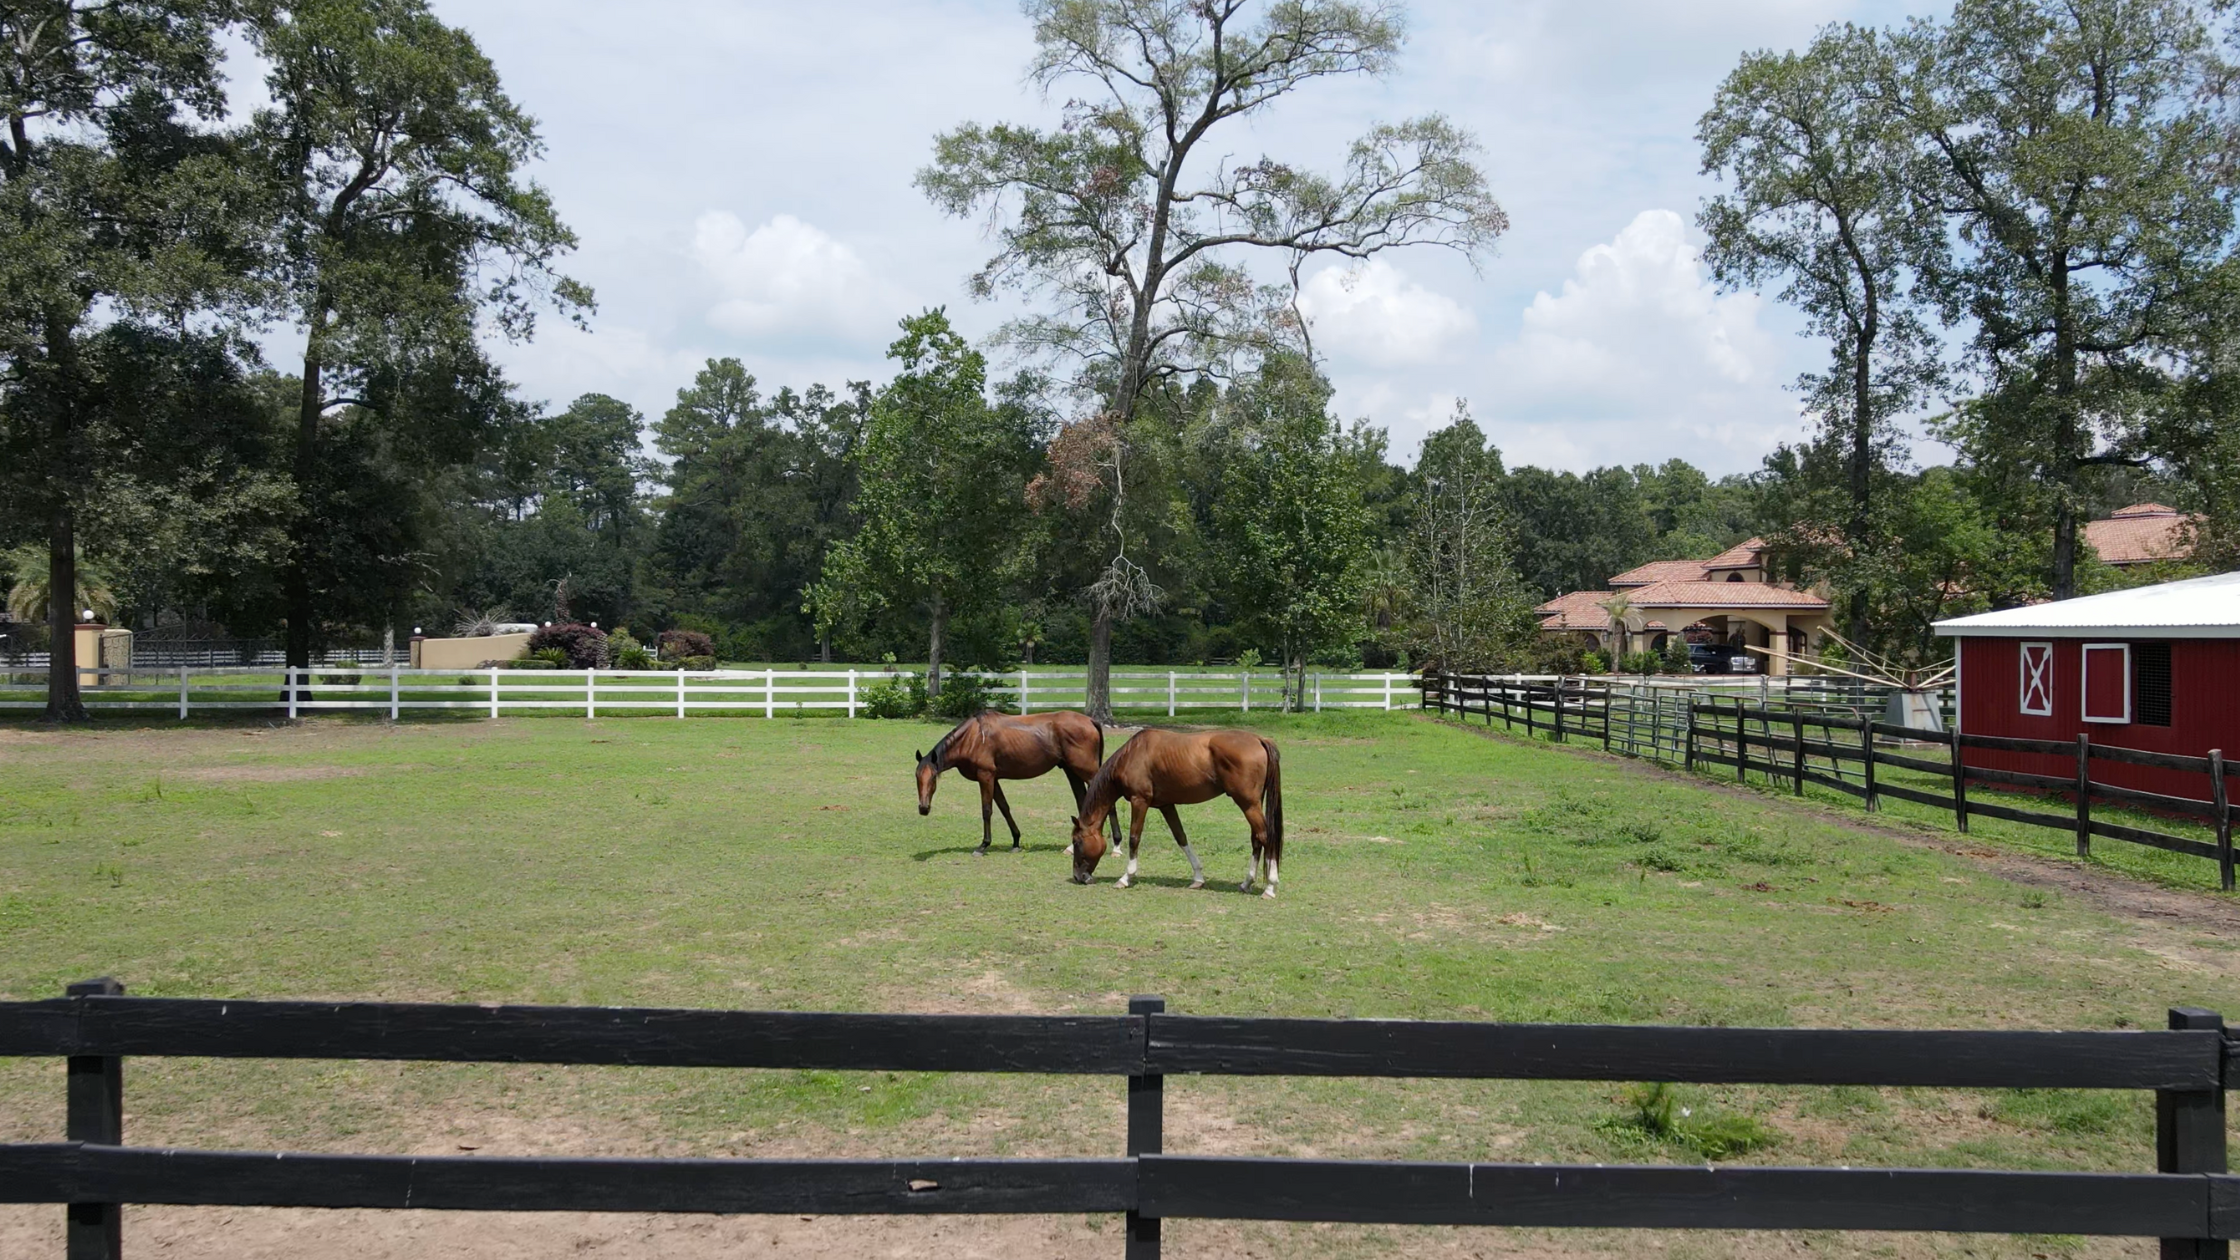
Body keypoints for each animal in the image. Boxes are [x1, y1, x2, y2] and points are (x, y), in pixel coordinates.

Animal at [913, 708, 1115, 851]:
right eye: (916, 778)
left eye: (933, 778)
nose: (923, 808)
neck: (973, 737)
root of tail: (1090, 721)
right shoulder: (993, 779)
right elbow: (1004, 808)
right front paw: (1016, 840)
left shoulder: (985, 776)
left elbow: (987, 810)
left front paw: (984, 844)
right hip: (1072, 772)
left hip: (1087, 772)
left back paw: (1116, 845)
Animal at [1075, 726, 1290, 892]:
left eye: (1076, 842)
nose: (1079, 877)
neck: (1133, 754)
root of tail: (1259, 739)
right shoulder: (1166, 805)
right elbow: (1181, 837)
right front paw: (1198, 879)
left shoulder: (1139, 801)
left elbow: (1134, 838)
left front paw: (1125, 878)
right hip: (1253, 804)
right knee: (1257, 839)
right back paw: (1246, 883)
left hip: (1248, 804)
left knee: (1265, 836)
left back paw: (1270, 886)